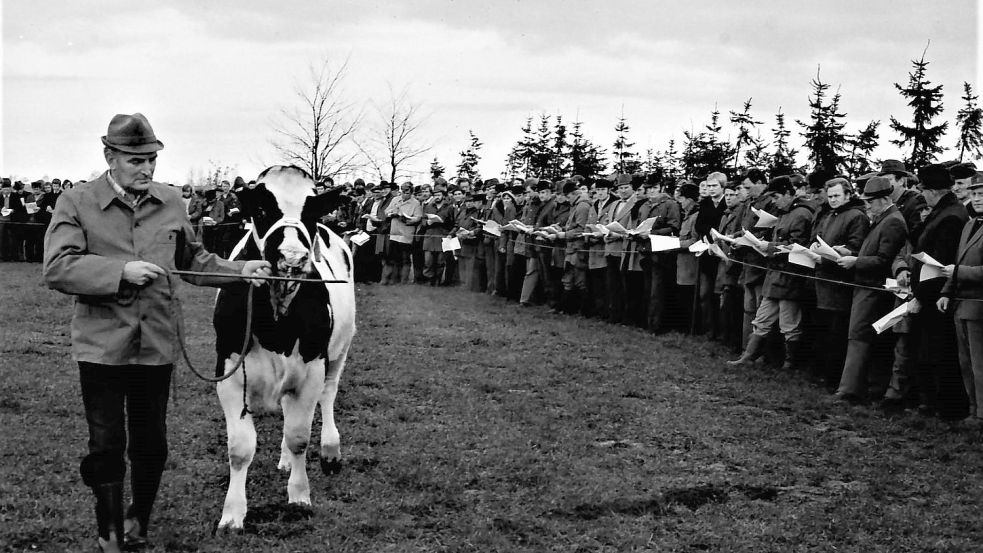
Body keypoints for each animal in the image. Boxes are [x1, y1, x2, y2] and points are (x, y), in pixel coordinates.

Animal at [211, 165, 358, 532]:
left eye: (310, 212)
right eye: (263, 210)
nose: (292, 257)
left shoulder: (312, 368)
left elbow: (299, 437)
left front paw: (300, 496)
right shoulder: (229, 371)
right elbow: (240, 448)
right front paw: (232, 514)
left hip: (340, 350)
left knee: (328, 397)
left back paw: (330, 450)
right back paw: (285, 461)